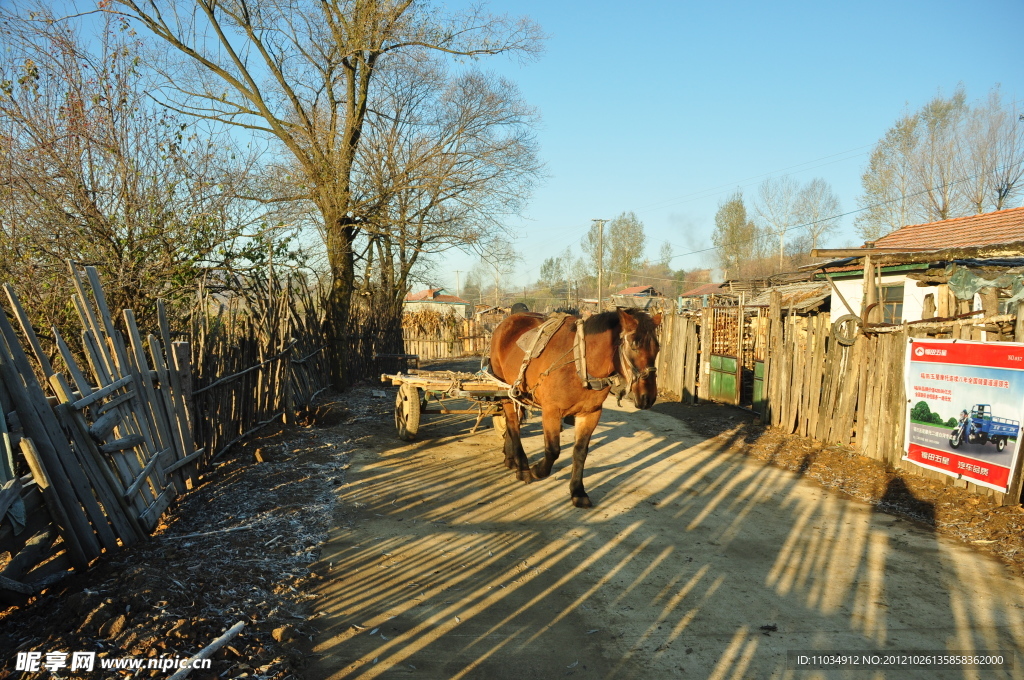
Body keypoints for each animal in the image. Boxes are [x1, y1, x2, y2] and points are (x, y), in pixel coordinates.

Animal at [489, 311, 663, 507]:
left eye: (657, 347)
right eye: (634, 345)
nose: (648, 397)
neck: (580, 363)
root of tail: (508, 320)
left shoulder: (590, 414)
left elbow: (580, 452)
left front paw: (578, 491)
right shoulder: (551, 411)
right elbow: (553, 450)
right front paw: (538, 471)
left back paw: (510, 458)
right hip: (504, 389)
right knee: (513, 425)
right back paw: (523, 467)